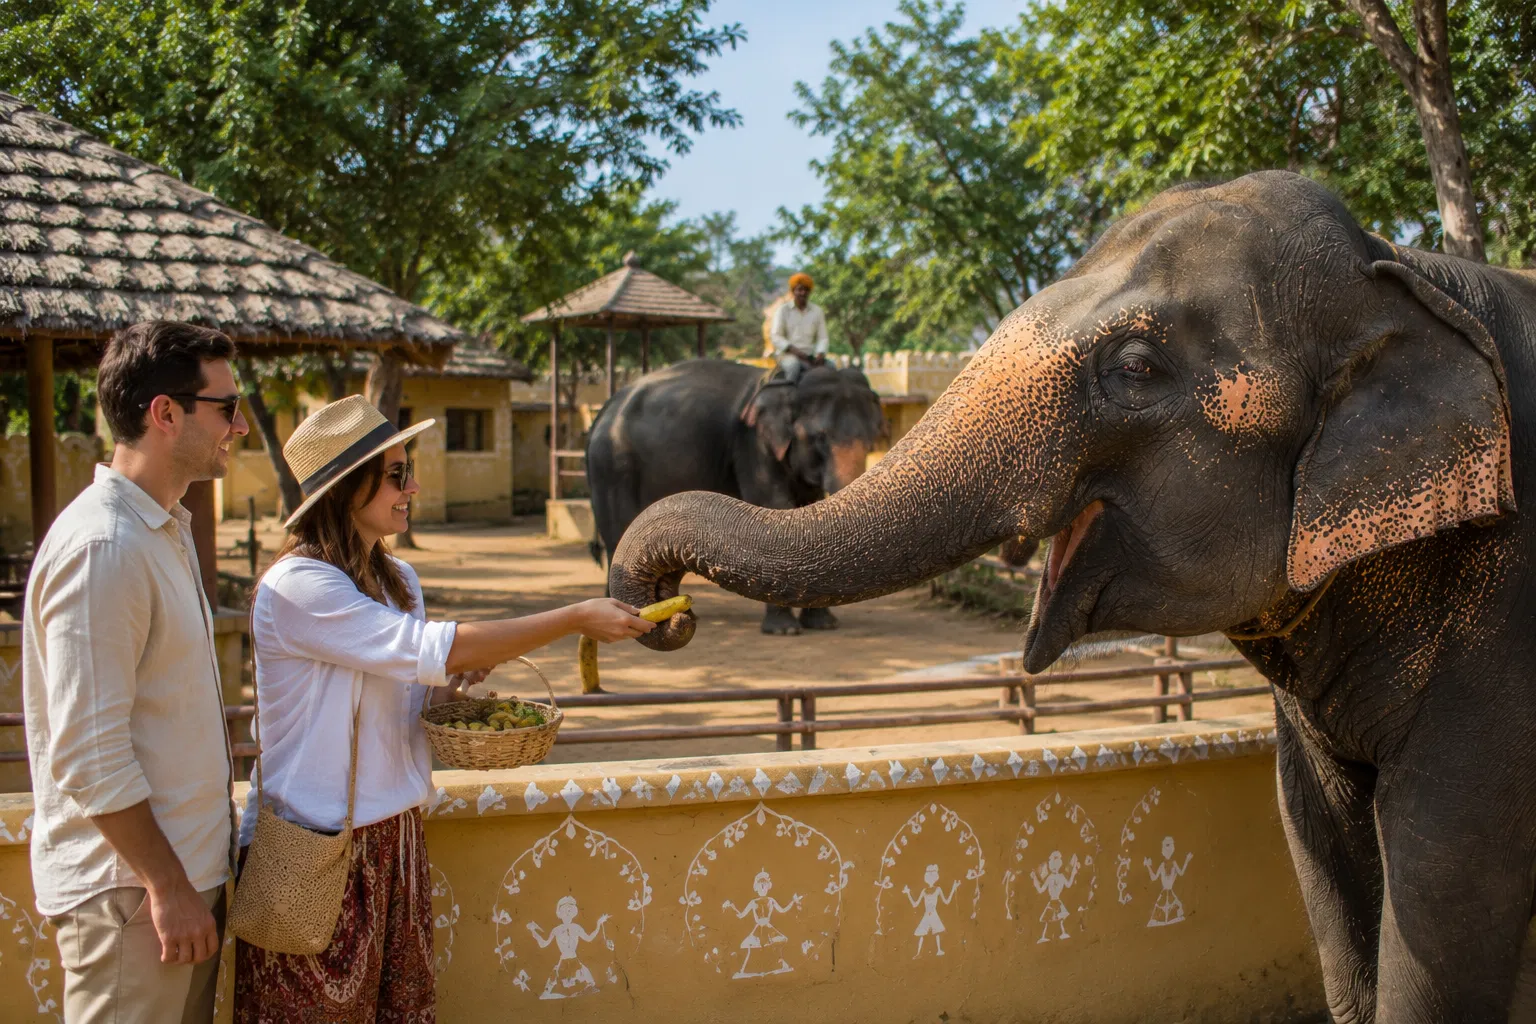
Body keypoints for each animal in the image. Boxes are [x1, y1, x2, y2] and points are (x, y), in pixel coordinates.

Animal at [585, 358, 886, 635]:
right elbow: (775, 506)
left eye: (872, 438)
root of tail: (604, 410)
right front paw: (784, 631)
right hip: (612, 465)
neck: (792, 384)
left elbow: (809, 505)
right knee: (619, 532)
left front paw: (823, 625)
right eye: (819, 437)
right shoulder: (753, 445)